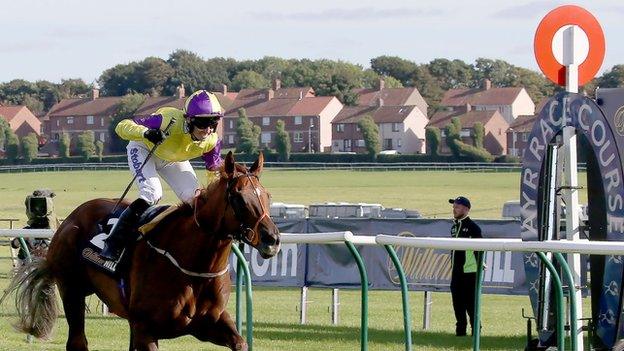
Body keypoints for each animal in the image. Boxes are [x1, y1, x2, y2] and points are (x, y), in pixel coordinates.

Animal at [2, 153, 280, 350]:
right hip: (72, 290)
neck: (193, 265)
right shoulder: (146, 329)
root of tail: (70, 219)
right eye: (239, 198)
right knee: (78, 342)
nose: (273, 239)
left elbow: (241, 343)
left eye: (267, 195)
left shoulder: (209, 323)